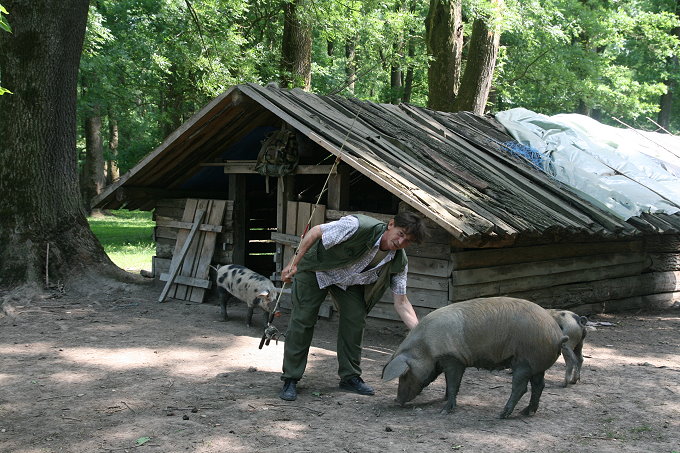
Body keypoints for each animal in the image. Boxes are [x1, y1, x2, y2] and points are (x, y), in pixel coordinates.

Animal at [382, 294, 568, 418]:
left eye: (405, 374)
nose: (396, 400)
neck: (426, 347)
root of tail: (557, 335)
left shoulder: (453, 359)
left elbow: (453, 384)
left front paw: (444, 410)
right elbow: (450, 383)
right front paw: (443, 400)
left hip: (524, 362)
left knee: (521, 387)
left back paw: (501, 415)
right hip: (537, 364)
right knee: (539, 385)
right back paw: (526, 412)